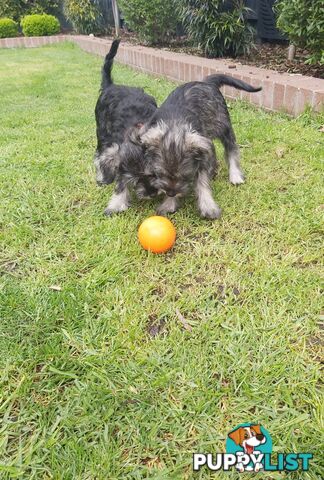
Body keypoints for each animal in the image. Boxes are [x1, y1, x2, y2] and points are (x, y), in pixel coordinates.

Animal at [93, 36, 158, 209]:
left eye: (155, 174)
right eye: (134, 180)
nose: (151, 194)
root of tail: (110, 86)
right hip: (101, 132)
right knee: (99, 154)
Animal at [107, 75, 262, 219]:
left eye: (186, 176)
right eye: (158, 174)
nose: (171, 193)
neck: (175, 124)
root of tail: (206, 81)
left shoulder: (200, 160)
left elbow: (203, 183)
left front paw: (208, 206)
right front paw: (169, 204)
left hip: (223, 125)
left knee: (231, 148)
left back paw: (235, 175)